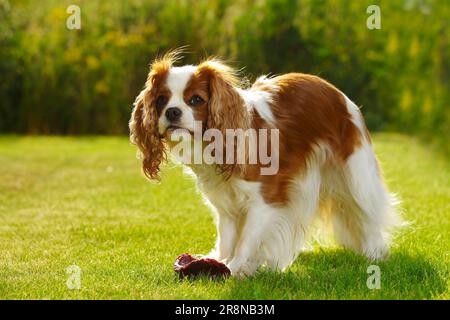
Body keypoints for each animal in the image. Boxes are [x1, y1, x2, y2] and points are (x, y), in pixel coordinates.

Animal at [130, 50, 400, 278]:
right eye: (161, 100)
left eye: (196, 100)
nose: (172, 112)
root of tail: (338, 94)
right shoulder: (226, 204)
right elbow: (227, 237)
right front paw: (220, 261)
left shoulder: (265, 202)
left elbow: (246, 240)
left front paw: (234, 268)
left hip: (356, 176)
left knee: (367, 213)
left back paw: (374, 253)